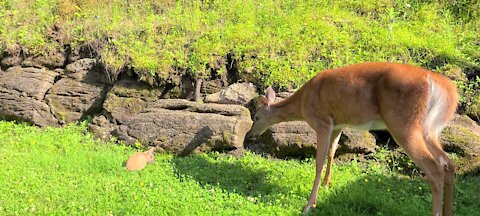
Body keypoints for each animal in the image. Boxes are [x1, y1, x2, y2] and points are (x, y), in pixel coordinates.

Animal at [249, 61, 460, 215]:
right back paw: (449, 211)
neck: (302, 103)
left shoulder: (322, 122)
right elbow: (332, 153)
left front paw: (310, 204)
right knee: (449, 164)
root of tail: (441, 85)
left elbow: (318, 162)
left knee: (435, 169)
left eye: (256, 117)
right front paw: (327, 185)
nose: (250, 135)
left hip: (404, 124)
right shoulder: (338, 124)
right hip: (430, 129)